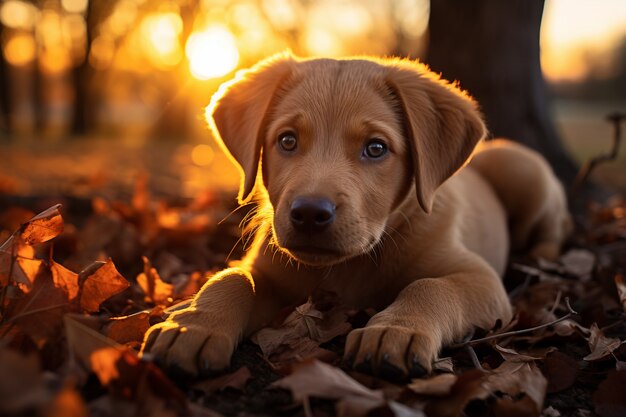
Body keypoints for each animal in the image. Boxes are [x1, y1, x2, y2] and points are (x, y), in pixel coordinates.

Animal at [141, 52, 572, 380]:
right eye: (287, 141)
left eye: (376, 148)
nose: (309, 213)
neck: (349, 268)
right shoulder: (267, 269)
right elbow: (231, 279)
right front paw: (193, 324)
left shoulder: (480, 278)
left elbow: (430, 286)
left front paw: (394, 330)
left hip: (522, 166)